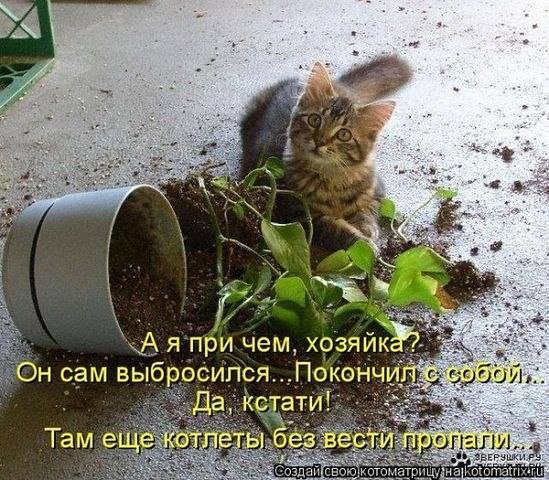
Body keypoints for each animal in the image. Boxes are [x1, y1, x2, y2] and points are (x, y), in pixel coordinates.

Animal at [240, 55, 412, 249]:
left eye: (343, 134)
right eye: (315, 120)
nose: (319, 141)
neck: (333, 178)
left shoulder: (376, 190)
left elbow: (366, 210)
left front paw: (367, 229)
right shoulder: (301, 214)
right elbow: (338, 230)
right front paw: (365, 243)